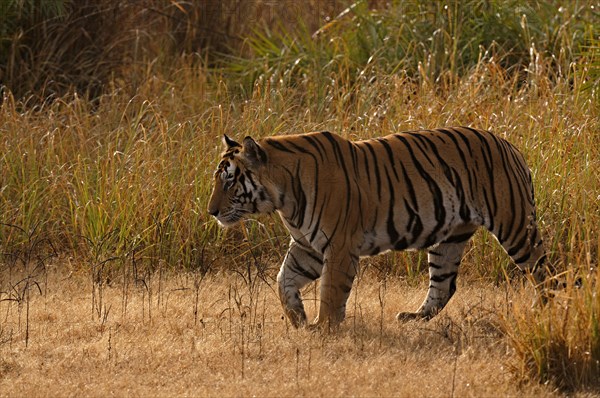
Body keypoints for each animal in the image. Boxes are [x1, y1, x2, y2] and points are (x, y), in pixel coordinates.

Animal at [207, 127, 548, 330]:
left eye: (229, 180)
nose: (211, 211)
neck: (283, 196)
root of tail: (508, 144)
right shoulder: (307, 247)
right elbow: (283, 280)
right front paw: (297, 318)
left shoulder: (339, 246)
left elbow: (331, 291)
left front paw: (322, 328)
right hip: (450, 238)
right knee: (444, 285)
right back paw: (413, 317)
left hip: (515, 225)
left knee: (544, 270)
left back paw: (548, 309)